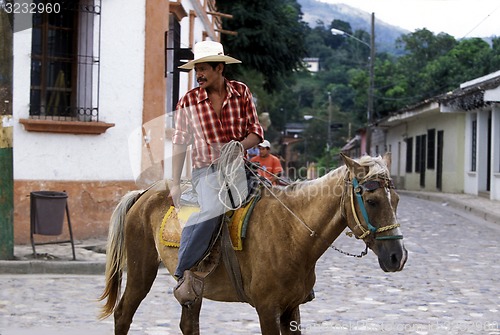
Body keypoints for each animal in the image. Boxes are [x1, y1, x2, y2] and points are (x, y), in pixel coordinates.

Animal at [97, 154, 406, 334]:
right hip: (141, 271)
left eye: (397, 200)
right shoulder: (267, 309)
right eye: (372, 201)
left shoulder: (292, 309)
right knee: (123, 314)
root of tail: (144, 193)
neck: (292, 232)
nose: (397, 257)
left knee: (188, 322)